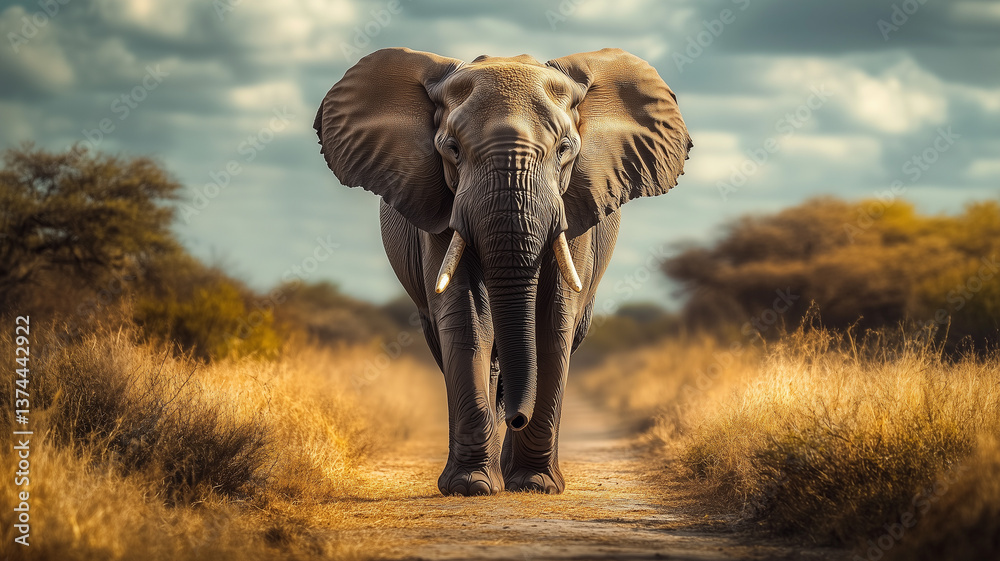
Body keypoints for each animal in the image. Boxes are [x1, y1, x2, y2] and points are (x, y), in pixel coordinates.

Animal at [314, 47, 691, 496]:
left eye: (565, 149)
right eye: (453, 149)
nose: (517, 416)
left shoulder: (575, 207)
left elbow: (553, 321)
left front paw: (536, 485)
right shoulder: (440, 210)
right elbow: (466, 317)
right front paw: (470, 486)